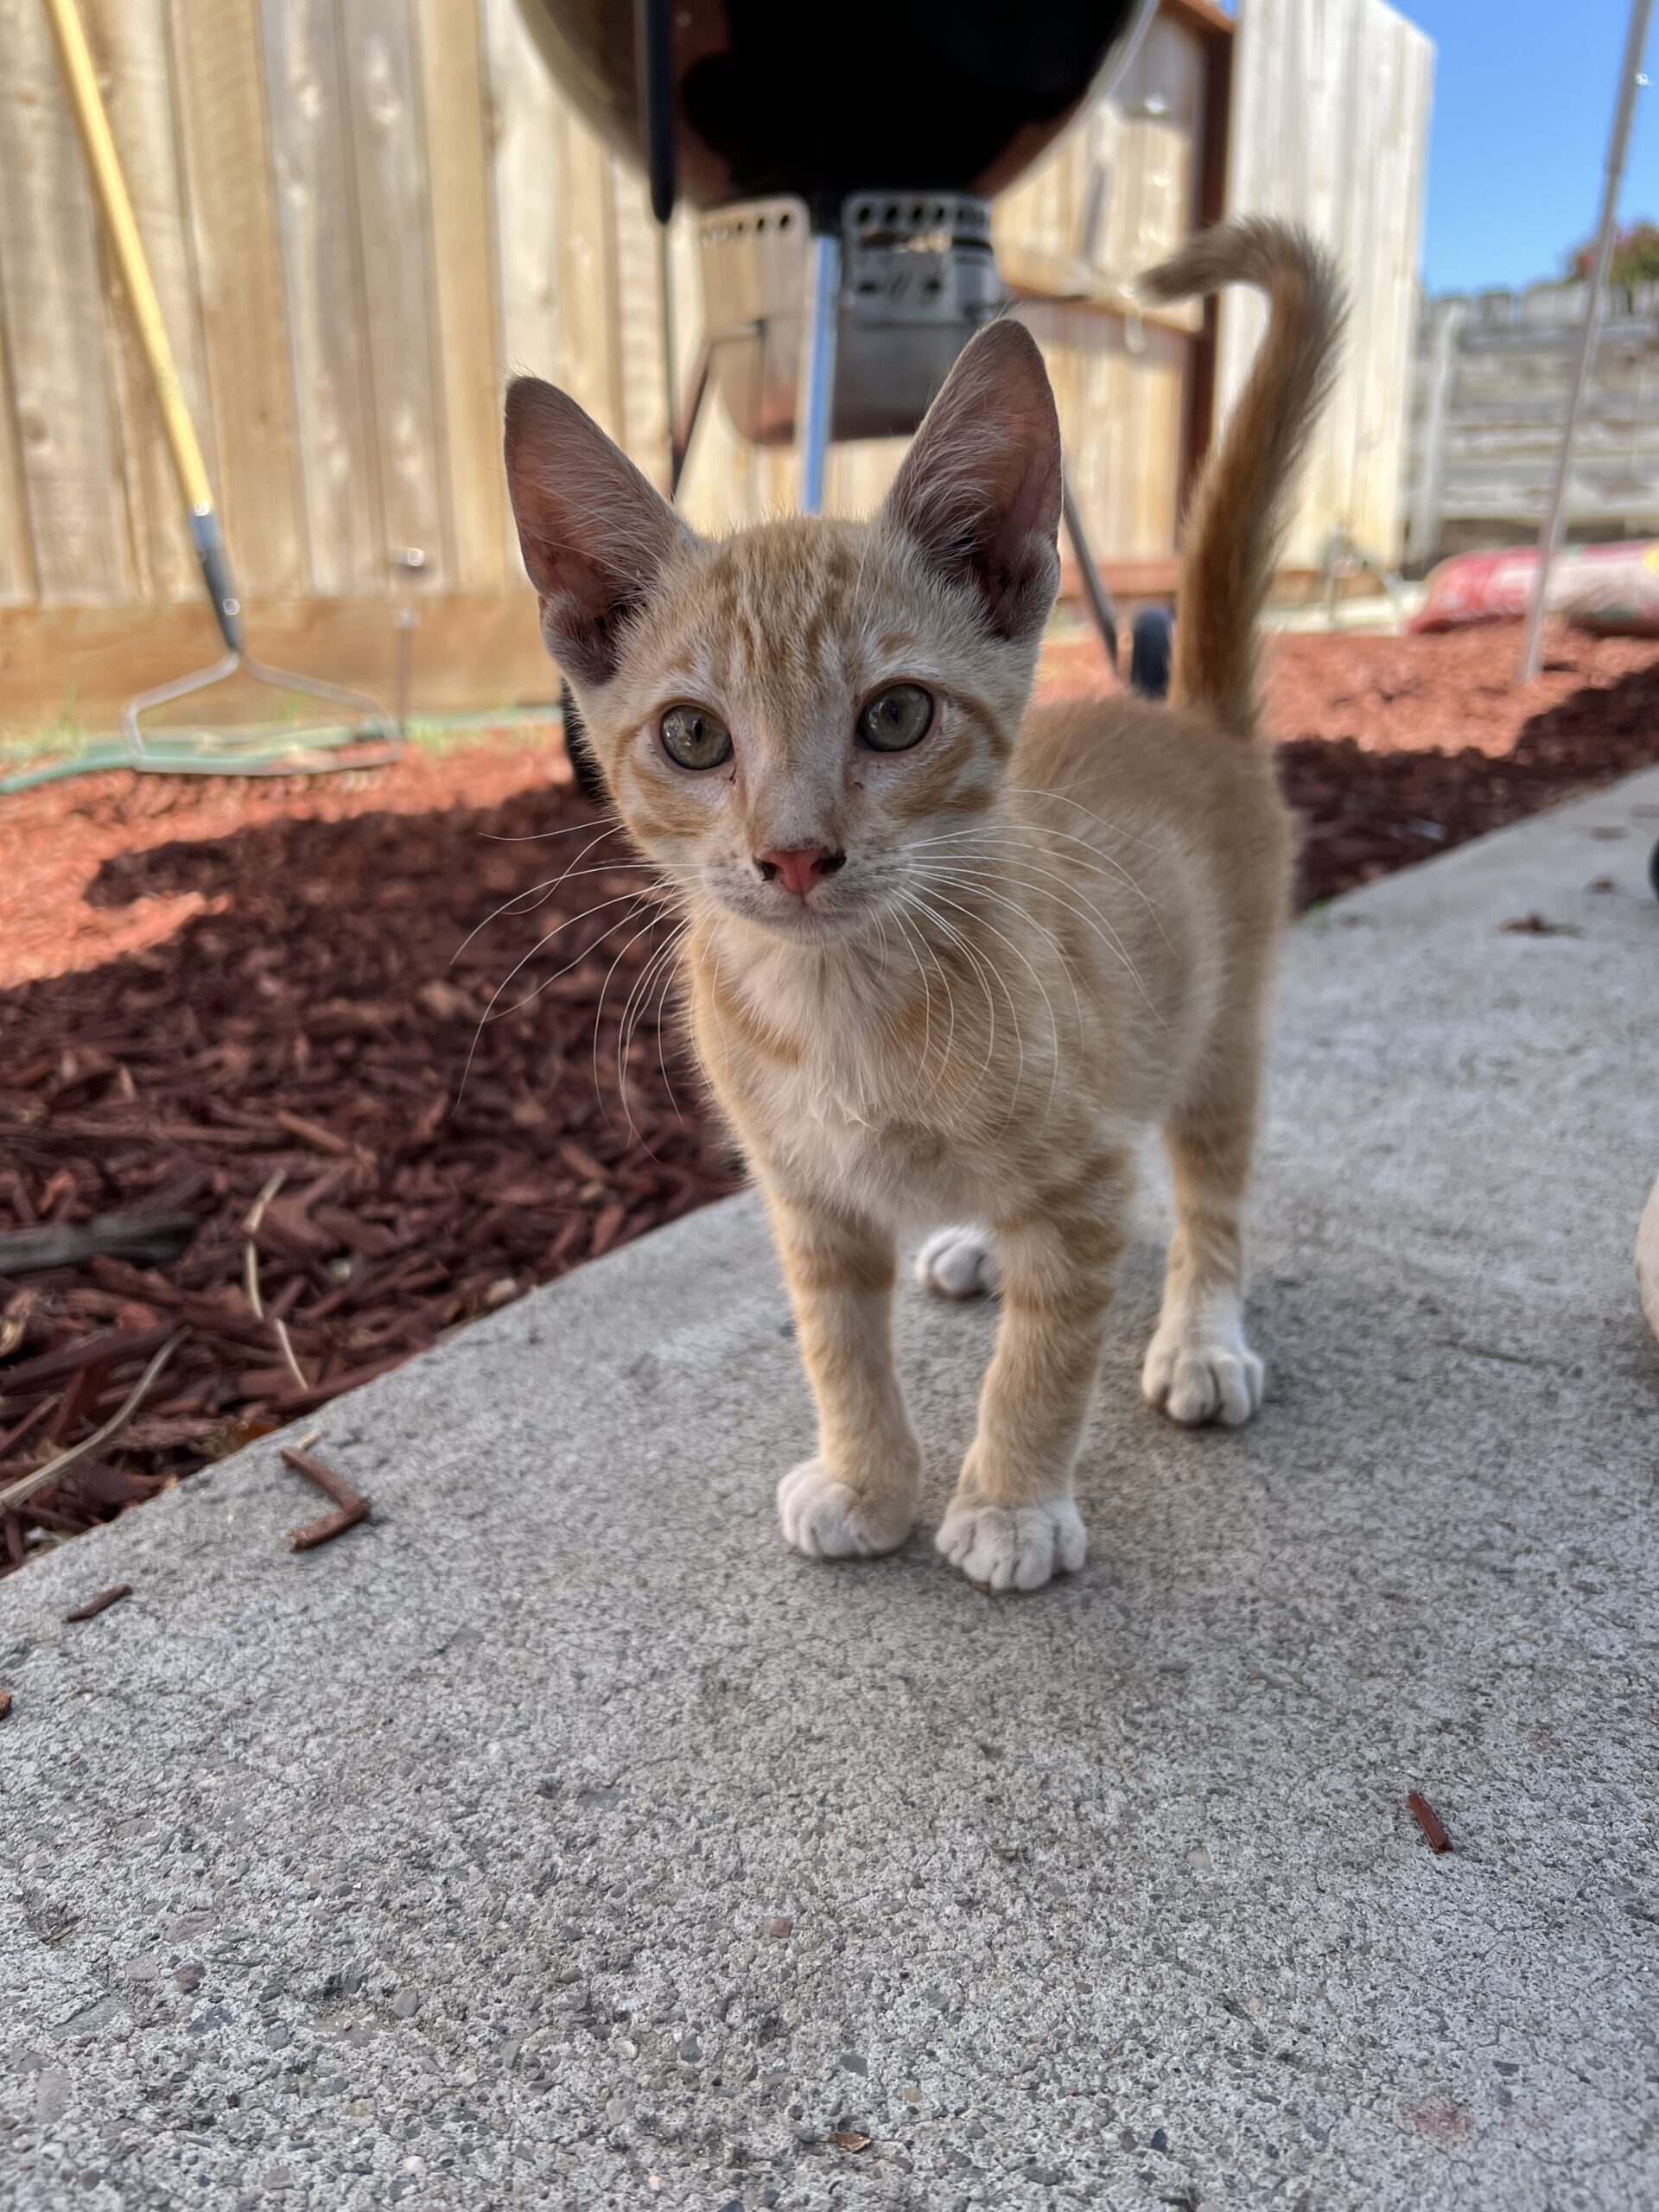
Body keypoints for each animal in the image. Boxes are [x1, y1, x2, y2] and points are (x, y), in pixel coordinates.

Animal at [503, 217, 1342, 1593]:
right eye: (692, 736)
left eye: (896, 715)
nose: (794, 854)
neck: (842, 1010)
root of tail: (1183, 717)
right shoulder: (806, 1195)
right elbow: (838, 1348)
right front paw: (865, 1481)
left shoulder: (1087, 1176)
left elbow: (1045, 1359)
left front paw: (1008, 1505)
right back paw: (974, 1245)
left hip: (1222, 1028)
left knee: (1211, 1188)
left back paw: (1203, 1336)